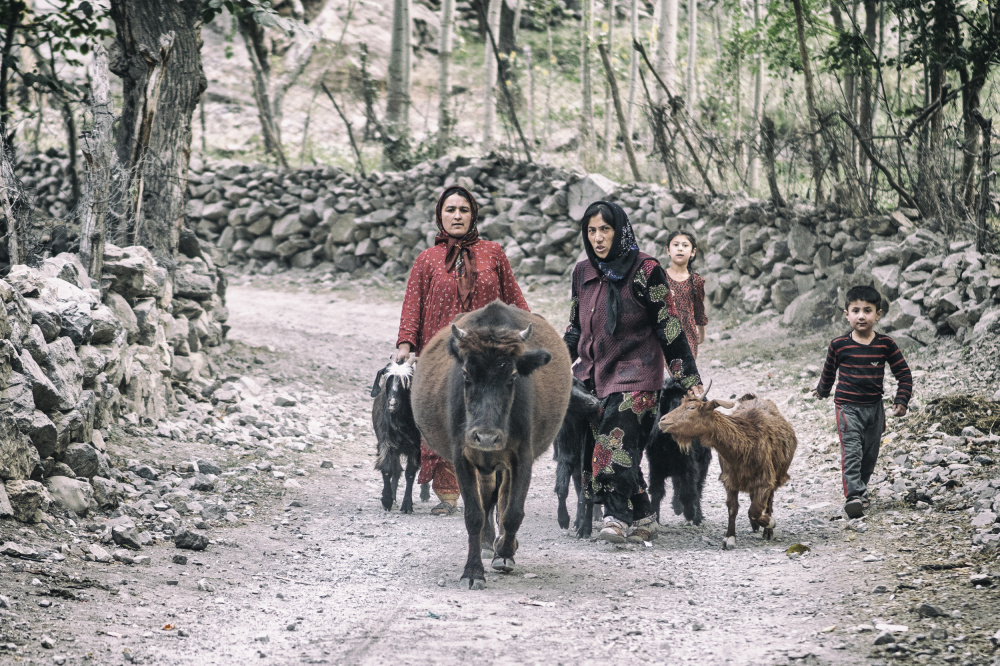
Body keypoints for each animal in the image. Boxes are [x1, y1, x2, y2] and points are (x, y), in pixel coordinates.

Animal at [374, 360, 424, 510]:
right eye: (387, 380)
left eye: (406, 383)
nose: (392, 403)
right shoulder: (386, 444)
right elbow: (387, 470)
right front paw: (387, 500)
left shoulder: (416, 448)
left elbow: (410, 474)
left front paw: (407, 504)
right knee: (396, 470)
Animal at [412, 300, 572, 588]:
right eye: (466, 375)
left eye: (512, 377)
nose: (486, 437)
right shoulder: (462, 457)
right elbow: (474, 514)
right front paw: (473, 571)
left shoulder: (522, 457)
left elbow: (513, 511)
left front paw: (506, 553)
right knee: (487, 497)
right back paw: (487, 542)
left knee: (502, 498)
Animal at [552, 378, 596, 536]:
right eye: (570, 397)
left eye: (582, 386)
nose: (593, 402)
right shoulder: (565, 458)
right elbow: (562, 488)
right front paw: (563, 519)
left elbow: (586, 493)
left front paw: (585, 528)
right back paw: (578, 522)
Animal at [648, 374, 712, 524]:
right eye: (664, 396)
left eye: (685, 398)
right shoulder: (655, 466)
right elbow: (656, 491)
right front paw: (655, 517)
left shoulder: (689, 465)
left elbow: (689, 490)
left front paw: (690, 514)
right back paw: (678, 507)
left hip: (702, 461)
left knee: (697, 487)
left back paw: (696, 515)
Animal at [656, 386, 796, 548]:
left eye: (691, 407)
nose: (662, 420)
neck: (744, 447)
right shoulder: (730, 480)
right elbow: (732, 509)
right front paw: (729, 538)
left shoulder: (765, 481)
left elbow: (754, 511)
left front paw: (770, 523)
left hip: (776, 475)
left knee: (769, 502)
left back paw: (767, 532)